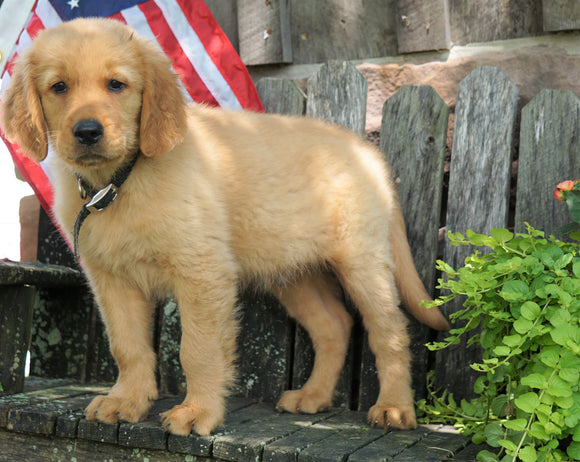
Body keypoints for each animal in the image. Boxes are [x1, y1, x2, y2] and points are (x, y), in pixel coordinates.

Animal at [1, 19, 448, 436]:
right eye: (59, 87)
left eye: (117, 85)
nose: (87, 132)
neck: (121, 181)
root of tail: (369, 154)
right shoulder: (111, 278)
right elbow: (127, 345)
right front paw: (126, 400)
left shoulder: (202, 271)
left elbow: (197, 349)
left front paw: (197, 412)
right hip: (293, 272)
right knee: (334, 326)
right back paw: (313, 396)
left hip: (362, 262)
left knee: (389, 331)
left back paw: (394, 407)